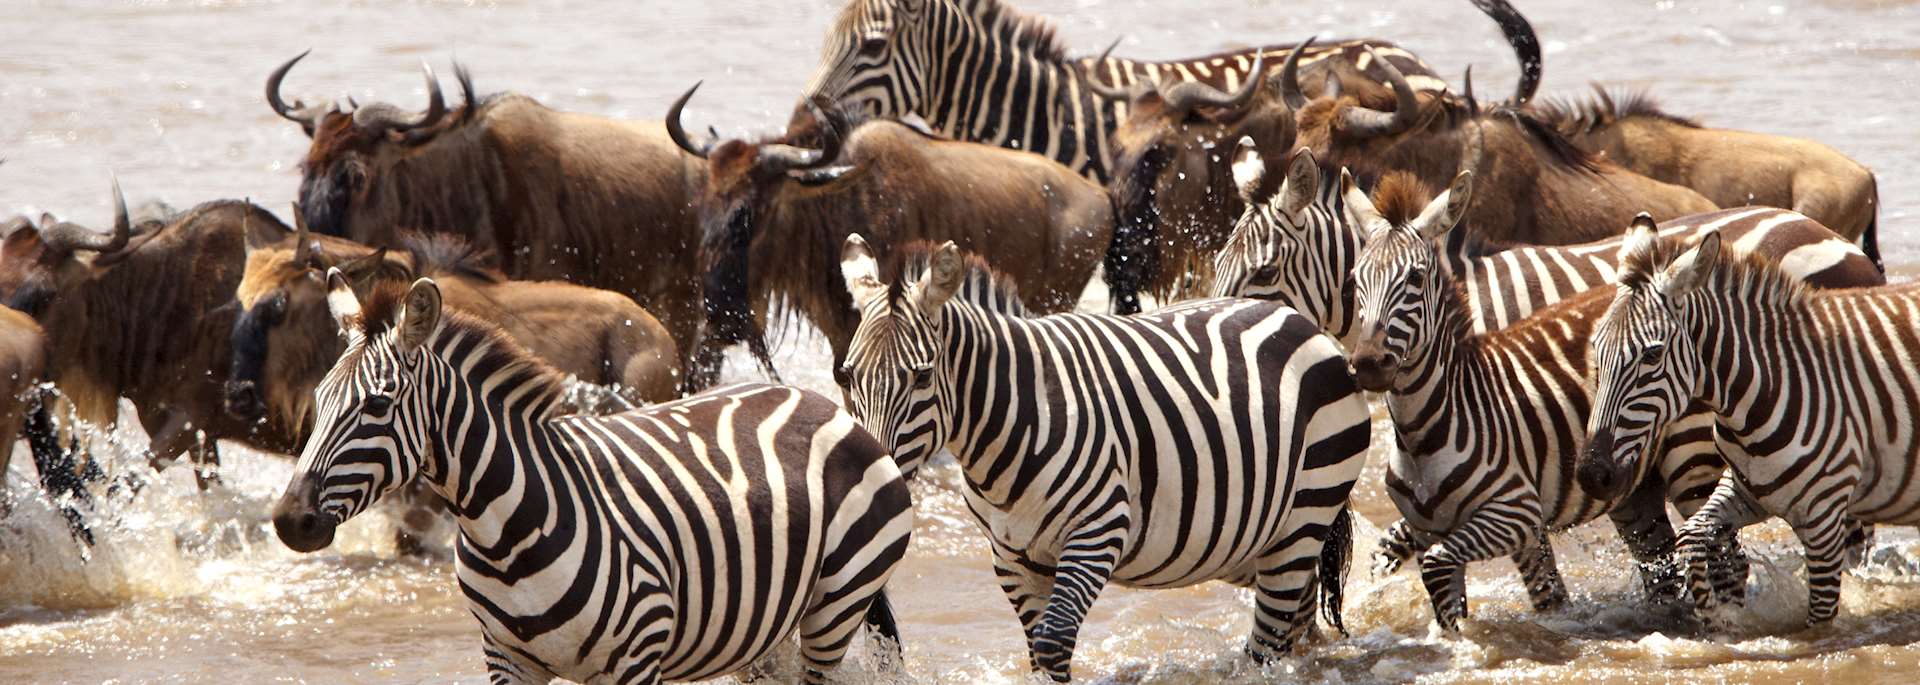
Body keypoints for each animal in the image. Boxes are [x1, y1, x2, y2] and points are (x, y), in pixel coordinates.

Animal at [270, 272, 914, 684]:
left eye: (377, 405)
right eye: (320, 400)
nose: (288, 521)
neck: (506, 530)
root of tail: (818, 400)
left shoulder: (637, 655)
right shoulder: (507, 659)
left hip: (836, 604)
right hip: (766, 627)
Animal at [834, 235, 1371, 681]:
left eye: (923, 376)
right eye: (845, 375)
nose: (873, 479)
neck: (1013, 423)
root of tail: (1297, 319)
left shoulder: (1096, 533)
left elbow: (1052, 644)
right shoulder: (1011, 555)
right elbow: (1037, 652)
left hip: (1305, 512)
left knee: (1270, 638)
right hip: (1253, 537)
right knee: (1298, 614)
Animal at [1581, 228, 1920, 629]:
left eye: (1651, 355)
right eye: (1596, 350)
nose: (1591, 474)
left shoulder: (1822, 521)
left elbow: (1819, 620)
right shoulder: (1748, 490)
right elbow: (1691, 537)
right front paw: (1718, 616)